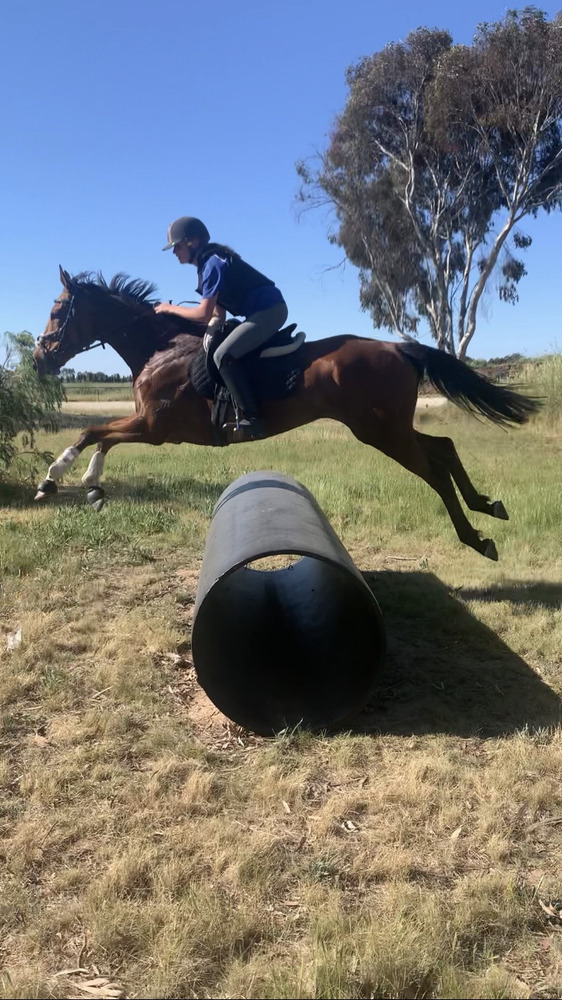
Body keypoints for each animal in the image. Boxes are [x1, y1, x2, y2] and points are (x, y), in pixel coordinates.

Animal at [33, 266, 540, 560]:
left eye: (58, 312)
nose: (38, 360)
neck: (161, 349)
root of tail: (398, 347)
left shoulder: (156, 428)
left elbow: (94, 430)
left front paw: (55, 478)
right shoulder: (149, 426)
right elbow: (101, 435)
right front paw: (91, 484)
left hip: (381, 432)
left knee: (433, 470)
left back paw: (475, 538)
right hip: (389, 427)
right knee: (445, 447)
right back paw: (486, 505)